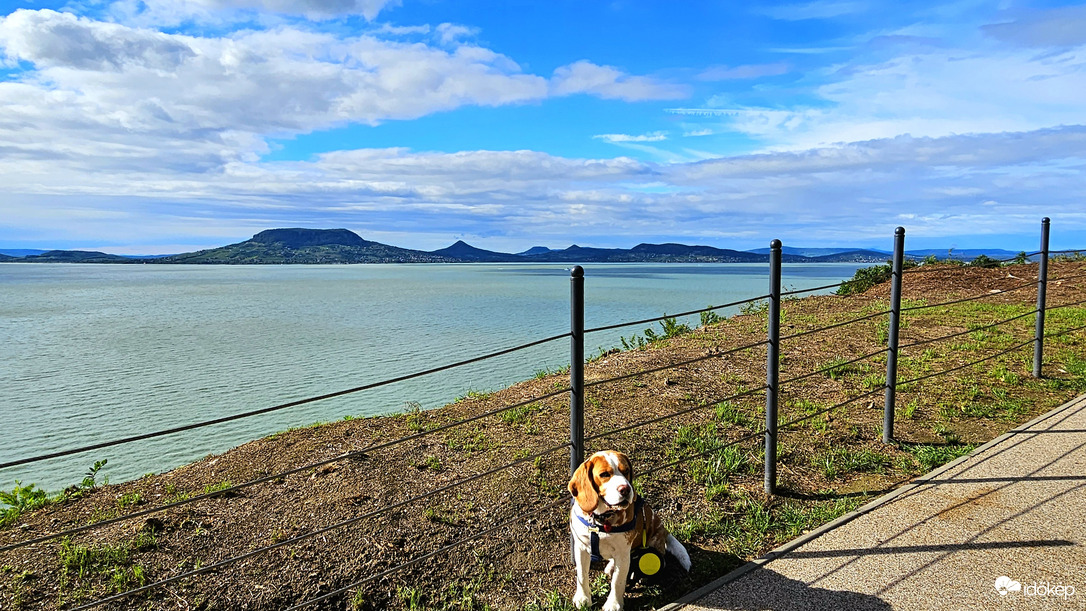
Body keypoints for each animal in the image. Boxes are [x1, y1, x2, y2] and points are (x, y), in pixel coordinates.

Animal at [569, 449, 686, 611]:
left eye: (626, 471)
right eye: (604, 474)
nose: (625, 489)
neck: (601, 519)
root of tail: (664, 530)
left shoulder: (623, 552)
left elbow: (618, 581)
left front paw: (613, 604)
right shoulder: (581, 548)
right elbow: (582, 574)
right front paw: (583, 597)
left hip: (653, 542)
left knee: (659, 559)